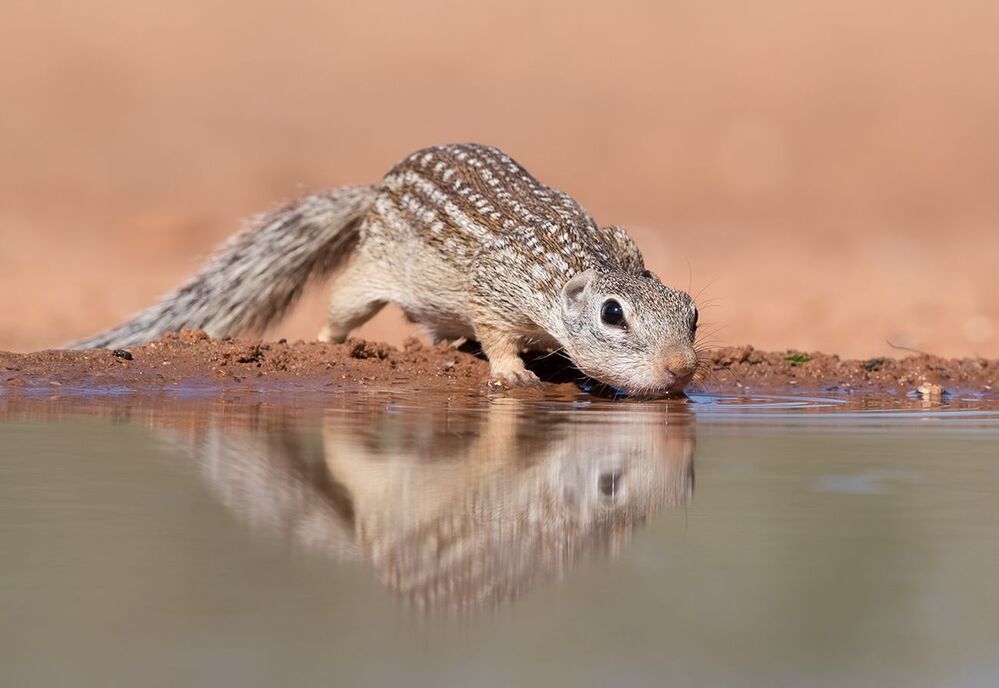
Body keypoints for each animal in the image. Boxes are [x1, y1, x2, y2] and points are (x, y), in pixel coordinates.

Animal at [74, 143, 700, 394]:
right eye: (613, 315)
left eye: (691, 312)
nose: (682, 369)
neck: (582, 259)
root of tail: (375, 190)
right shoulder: (496, 286)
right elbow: (496, 332)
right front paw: (514, 372)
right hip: (368, 278)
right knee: (340, 308)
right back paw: (327, 342)